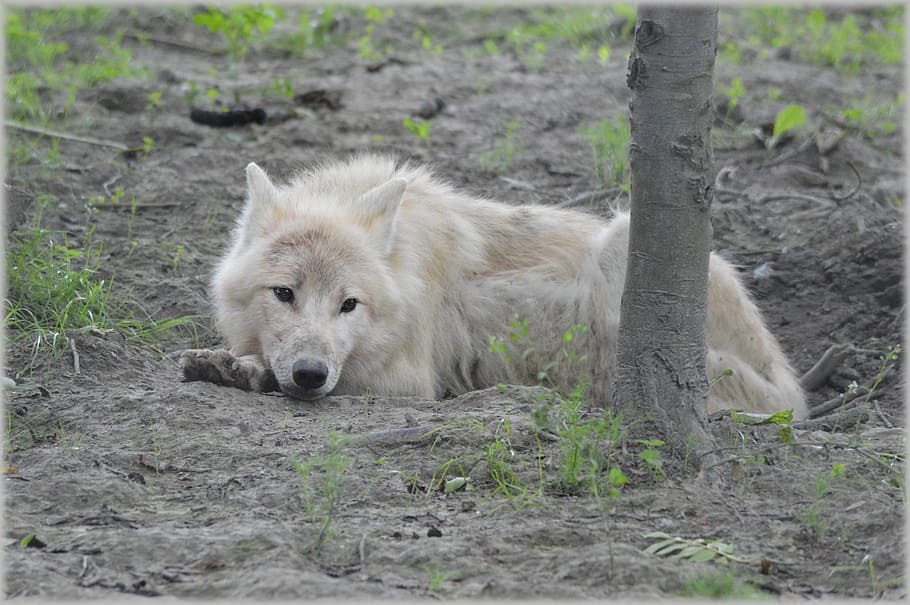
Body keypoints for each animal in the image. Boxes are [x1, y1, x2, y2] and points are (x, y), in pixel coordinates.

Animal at [180, 154, 808, 419]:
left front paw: (247, 371)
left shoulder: (411, 381)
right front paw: (226, 362)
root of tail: (794, 389)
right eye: (284, 293)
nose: (311, 374)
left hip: (623, 242)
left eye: (348, 305)